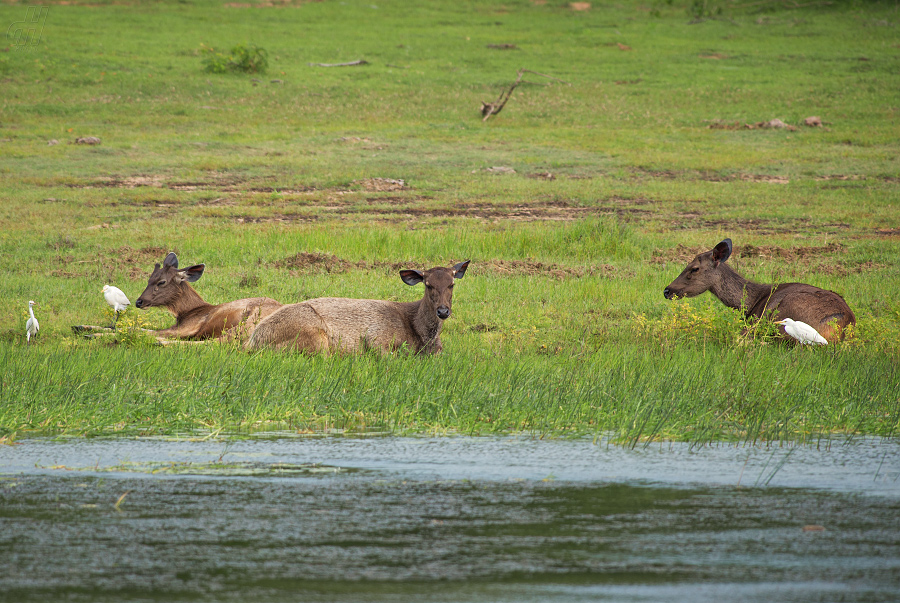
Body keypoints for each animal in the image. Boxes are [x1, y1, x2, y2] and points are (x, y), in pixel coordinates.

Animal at [135, 252, 284, 342]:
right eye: (148, 279)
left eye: (161, 282)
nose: (139, 302)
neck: (188, 312)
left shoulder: (191, 325)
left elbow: (152, 331)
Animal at [246, 260, 472, 354]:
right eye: (428, 284)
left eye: (452, 284)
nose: (443, 311)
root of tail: (252, 342)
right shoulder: (377, 336)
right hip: (313, 335)